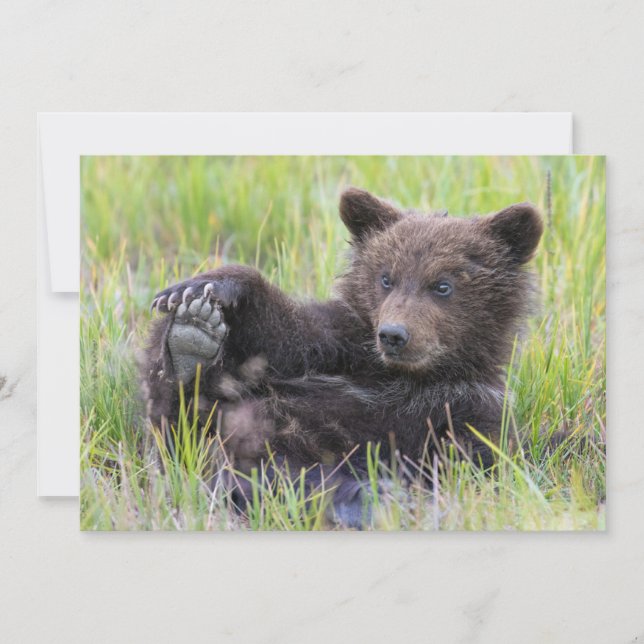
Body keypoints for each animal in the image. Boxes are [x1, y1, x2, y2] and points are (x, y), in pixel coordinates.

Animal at [142, 187, 543, 526]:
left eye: (443, 285)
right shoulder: (341, 350)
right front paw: (202, 289)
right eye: (386, 278)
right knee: (181, 427)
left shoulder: (468, 405)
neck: (409, 376)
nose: (393, 335)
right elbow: (287, 334)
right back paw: (189, 343)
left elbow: (470, 465)